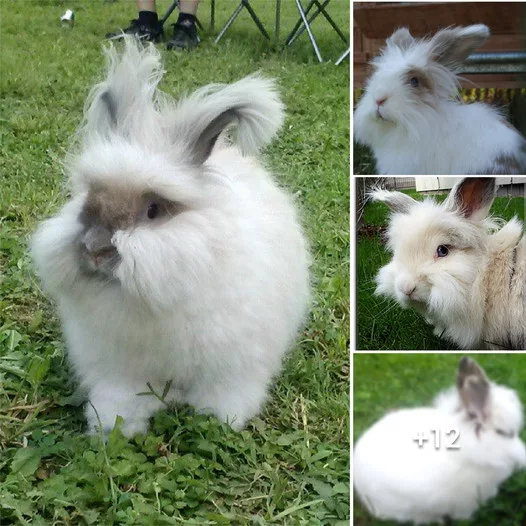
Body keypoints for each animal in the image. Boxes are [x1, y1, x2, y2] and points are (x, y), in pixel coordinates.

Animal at [31, 37, 312, 440]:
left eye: (153, 211)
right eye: (88, 200)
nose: (95, 250)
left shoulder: (233, 362)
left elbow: (224, 394)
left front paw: (222, 420)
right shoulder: (118, 366)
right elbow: (121, 396)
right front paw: (112, 427)